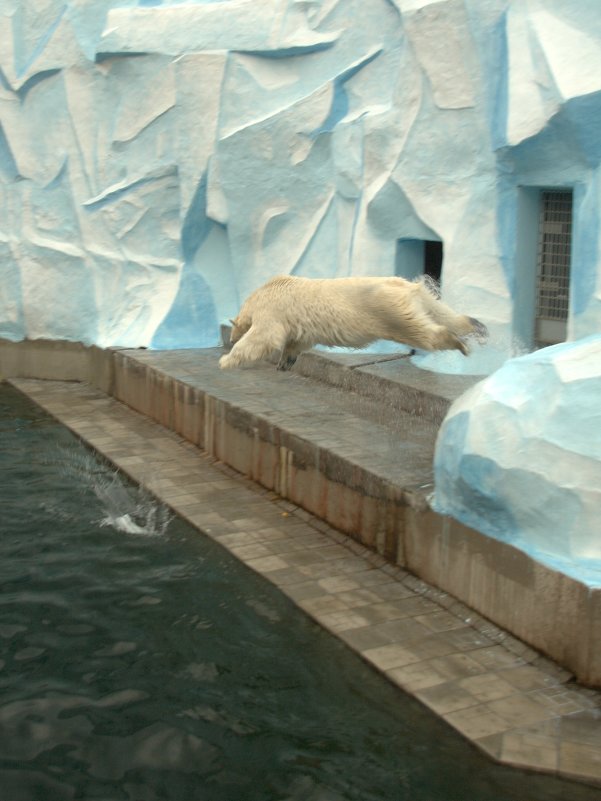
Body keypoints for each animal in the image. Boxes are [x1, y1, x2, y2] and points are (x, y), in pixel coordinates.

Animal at [220, 274, 488, 370]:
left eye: (234, 330)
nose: (230, 339)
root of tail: (404, 287)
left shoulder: (272, 311)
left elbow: (264, 336)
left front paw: (225, 360)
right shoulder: (301, 326)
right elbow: (300, 340)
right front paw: (286, 361)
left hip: (389, 311)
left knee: (422, 333)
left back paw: (460, 344)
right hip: (421, 300)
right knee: (446, 315)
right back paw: (478, 327)